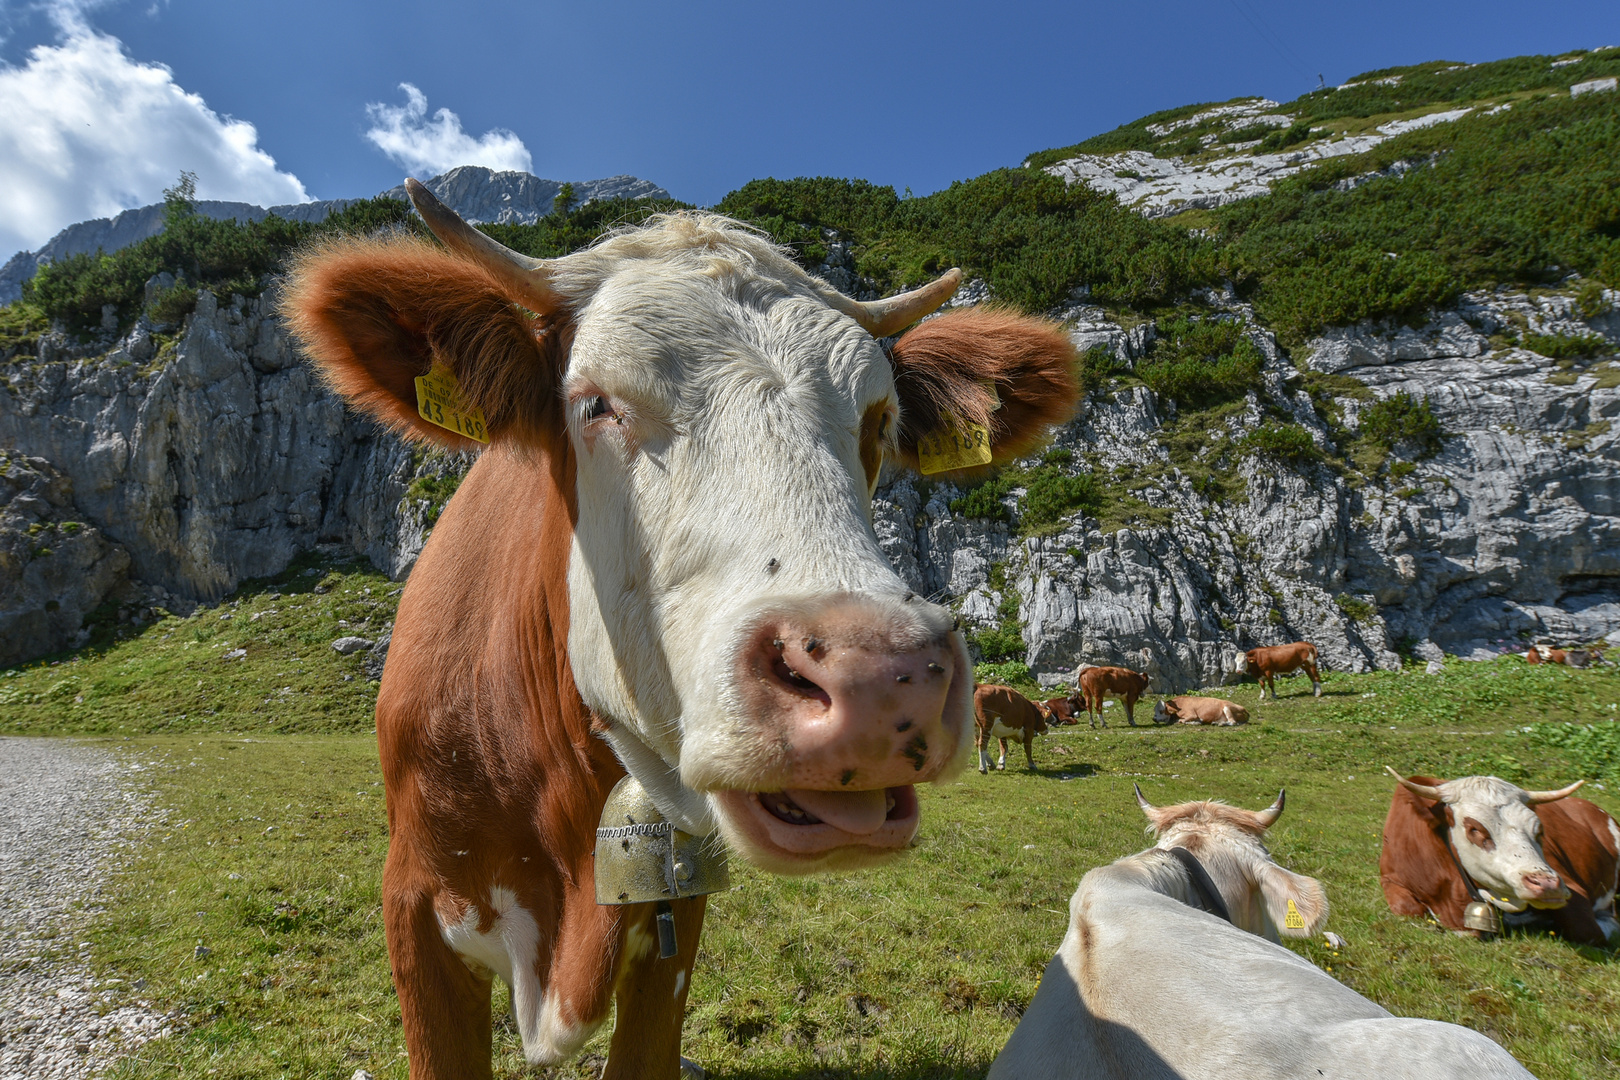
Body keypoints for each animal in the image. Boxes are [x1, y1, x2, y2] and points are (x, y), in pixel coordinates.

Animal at [1380, 767, 1620, 945]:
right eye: (1475, 829)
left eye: (1539, 829)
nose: (1546, 884)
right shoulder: (1390, 878)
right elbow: (1408, 908)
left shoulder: (1569, 885)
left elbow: (1588, 930)